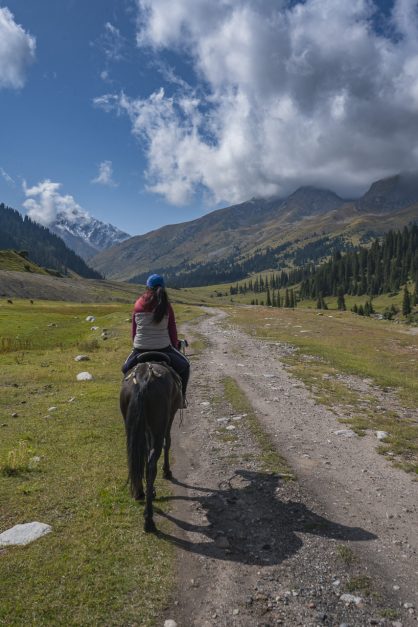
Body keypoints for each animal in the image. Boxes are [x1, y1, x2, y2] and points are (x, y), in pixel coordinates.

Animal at [119, 354, 181, 528]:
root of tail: (142, 378)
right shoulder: (170, 416)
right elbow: (168, 442)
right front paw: (167, 471)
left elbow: (144, 451)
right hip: (159, 424)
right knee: (151, 465)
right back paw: (149, 518)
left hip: (131, 425)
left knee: (135, 458)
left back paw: (140, 492)